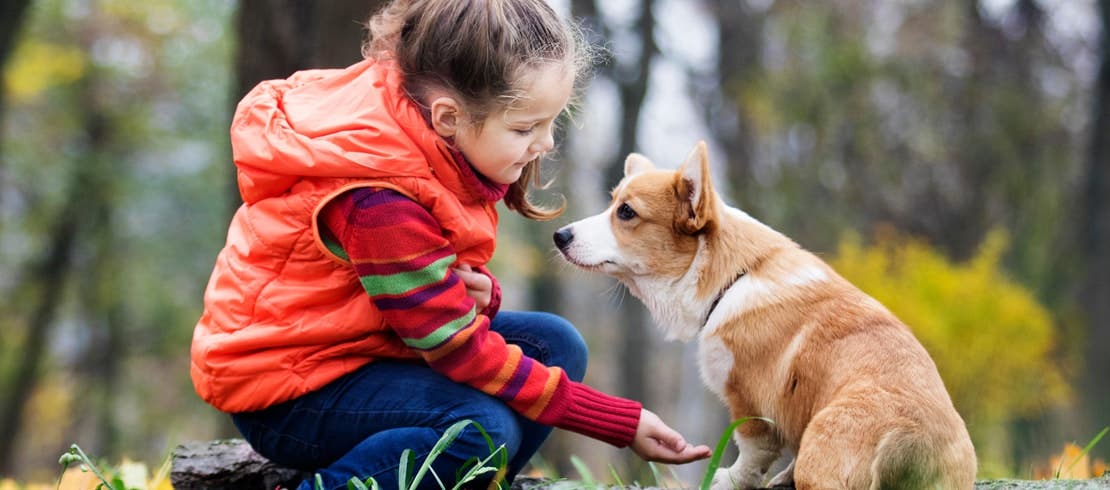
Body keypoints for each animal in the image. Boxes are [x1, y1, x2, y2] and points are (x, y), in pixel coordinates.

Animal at [552, 139, 972, 486]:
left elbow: (753, 451)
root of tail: (911, 438)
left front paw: (730, 479)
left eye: (626, 212)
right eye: (612, 203)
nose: (559, 236)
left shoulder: (747, 400)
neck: (729, 278)